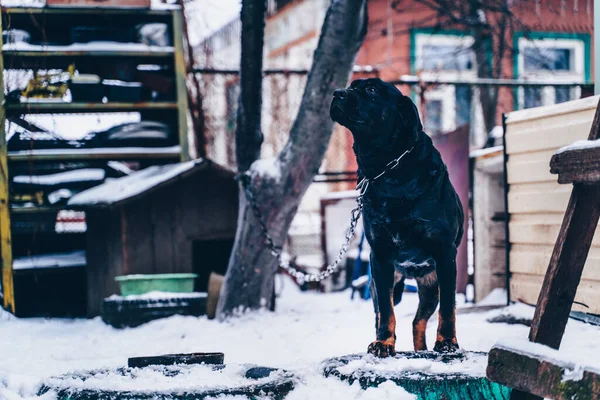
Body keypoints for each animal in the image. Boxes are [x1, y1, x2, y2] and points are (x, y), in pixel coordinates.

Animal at [328, 77, 464, 356]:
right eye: (352, 85)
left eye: (371, 90)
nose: (336, 93)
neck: (388, 169)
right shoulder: (379, 258)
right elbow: (386, 311)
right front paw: (383, 343)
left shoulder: (446, 254)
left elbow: (449, 308)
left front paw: (447, 342)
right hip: (390, 281)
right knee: (390, 313)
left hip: (431, 284)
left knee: (419, 320)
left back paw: (423, 350)